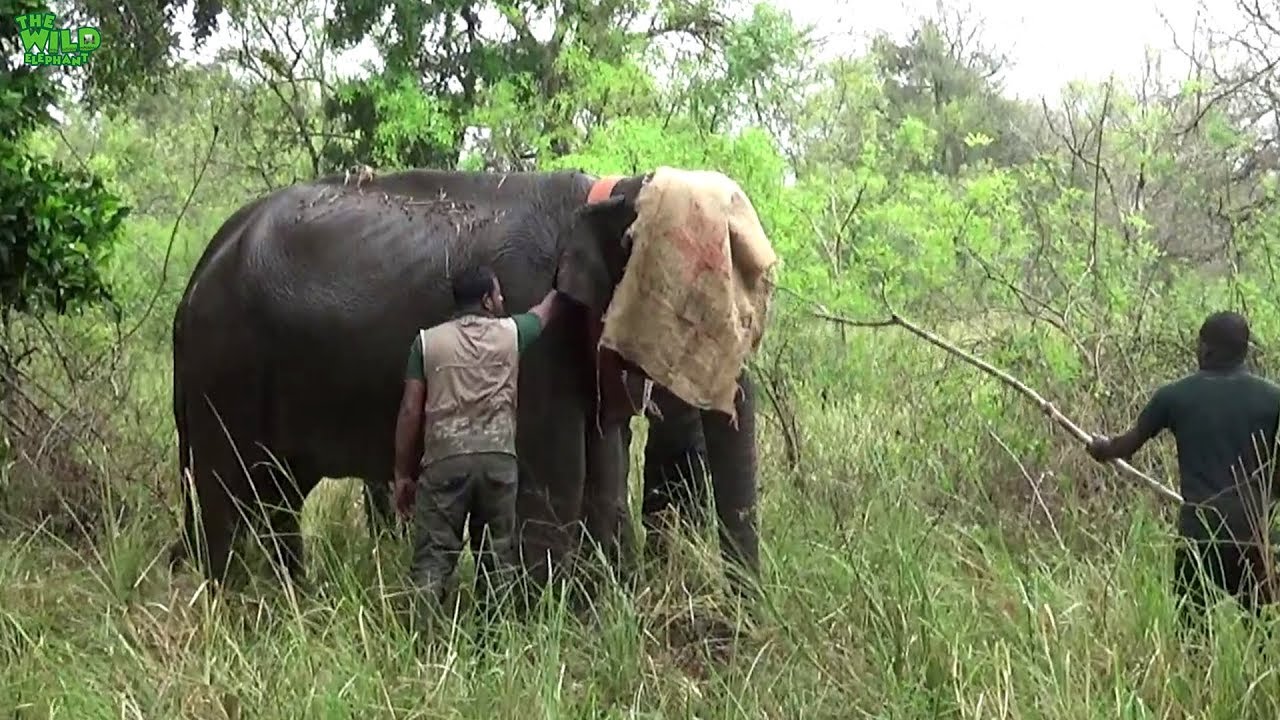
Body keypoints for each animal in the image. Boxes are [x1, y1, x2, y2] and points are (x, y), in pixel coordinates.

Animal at [167, 167, 760, 596]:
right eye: (690, 313)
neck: (614, 188)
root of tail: (195, 280)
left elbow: (605, 481)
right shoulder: (535, 340)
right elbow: (553, 491)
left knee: (277, 493)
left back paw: (293, 604)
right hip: (225, 365)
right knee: (228, 493)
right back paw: (235, 610)